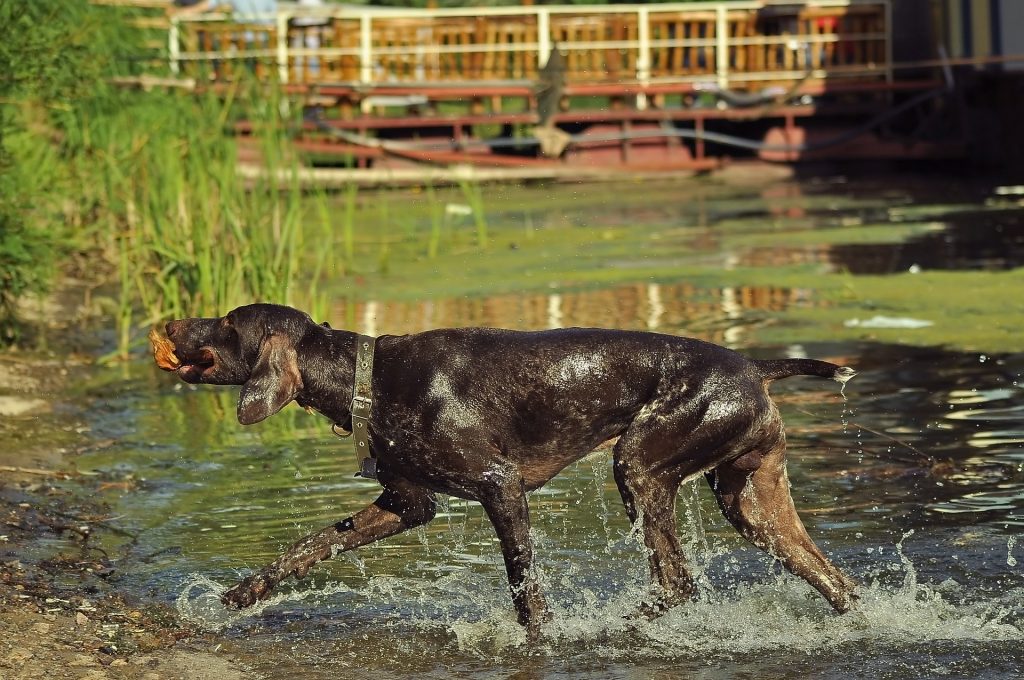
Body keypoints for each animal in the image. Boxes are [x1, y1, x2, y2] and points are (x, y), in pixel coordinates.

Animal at [161, 303, 856, 639]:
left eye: (226, 323)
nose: (167, 322)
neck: (368, 380)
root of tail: (753, 367)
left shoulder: (502, 487)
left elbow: (525, 592)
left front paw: (543, 635)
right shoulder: (408, 504)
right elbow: (307, 548)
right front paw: (240, 595)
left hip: (639, 467)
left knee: (678, 584)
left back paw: (611, 627)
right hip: (753, 502)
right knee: (834, 581)